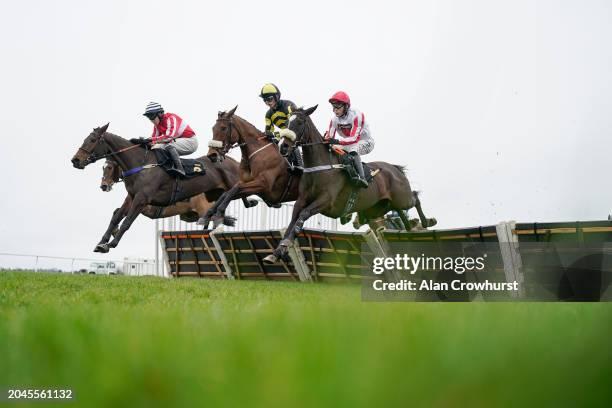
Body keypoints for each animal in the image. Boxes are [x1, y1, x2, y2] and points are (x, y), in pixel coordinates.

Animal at [71, 122, 251, 253]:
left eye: (92, 140)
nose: (75, 160)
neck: (140, 164)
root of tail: (233, 161)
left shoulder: (142, 200)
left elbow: (127, 221)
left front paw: (111, 244)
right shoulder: (132, 197)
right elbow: (116, 216)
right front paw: (101, 243)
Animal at [262, 107, 436, 262]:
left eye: (300, 122)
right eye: (286, 123)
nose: (283, 146)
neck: (320, 166)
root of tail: (394, 168)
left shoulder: (326, 200)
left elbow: (303, 215)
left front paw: (284, 245)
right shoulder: (302, 199)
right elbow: (293, 220)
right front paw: (277, 252)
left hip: (401, 198)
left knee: (415, 198)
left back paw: (427, 222)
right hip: (378, 208)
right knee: (397, 210)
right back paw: (408, 227)